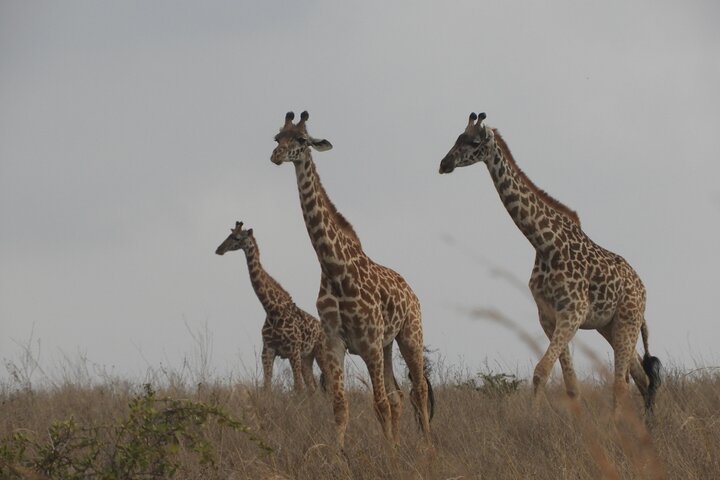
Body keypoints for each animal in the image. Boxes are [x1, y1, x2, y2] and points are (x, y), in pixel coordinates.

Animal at [215, 221, 325, 393]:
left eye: (237, 237)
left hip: (320, 352)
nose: (219, 249)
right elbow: (267, 387)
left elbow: (298, 388)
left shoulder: (293, 350)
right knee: (314, 388)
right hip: (307, 357)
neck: (272, 309)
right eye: (229, 234)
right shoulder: (268, 350)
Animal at [270, 111, 434, 449]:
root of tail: (412, 292)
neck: (334, 268)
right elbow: (340, 405)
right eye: (278, 137)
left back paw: (428, 448)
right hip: (387, 345)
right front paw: (339, 455)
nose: (276, 155)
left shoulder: (369, 342)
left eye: (301, 139)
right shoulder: (335, 342)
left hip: (409, 334)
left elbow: (379, 404)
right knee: (399, 395)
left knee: (418, 390)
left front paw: (389, 456)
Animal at [438, 112, 661, 414]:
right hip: (609, 325)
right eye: (457, 137)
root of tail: (642, 288)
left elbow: (541, 371)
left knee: (622, 383)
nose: (444, 163)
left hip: (628, 320)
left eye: (473, 141)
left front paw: (534, 419)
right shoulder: (548, 316)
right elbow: (570, 384)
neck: (545, 245)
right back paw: (647, 423)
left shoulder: (573, 312)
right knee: (640, 376)